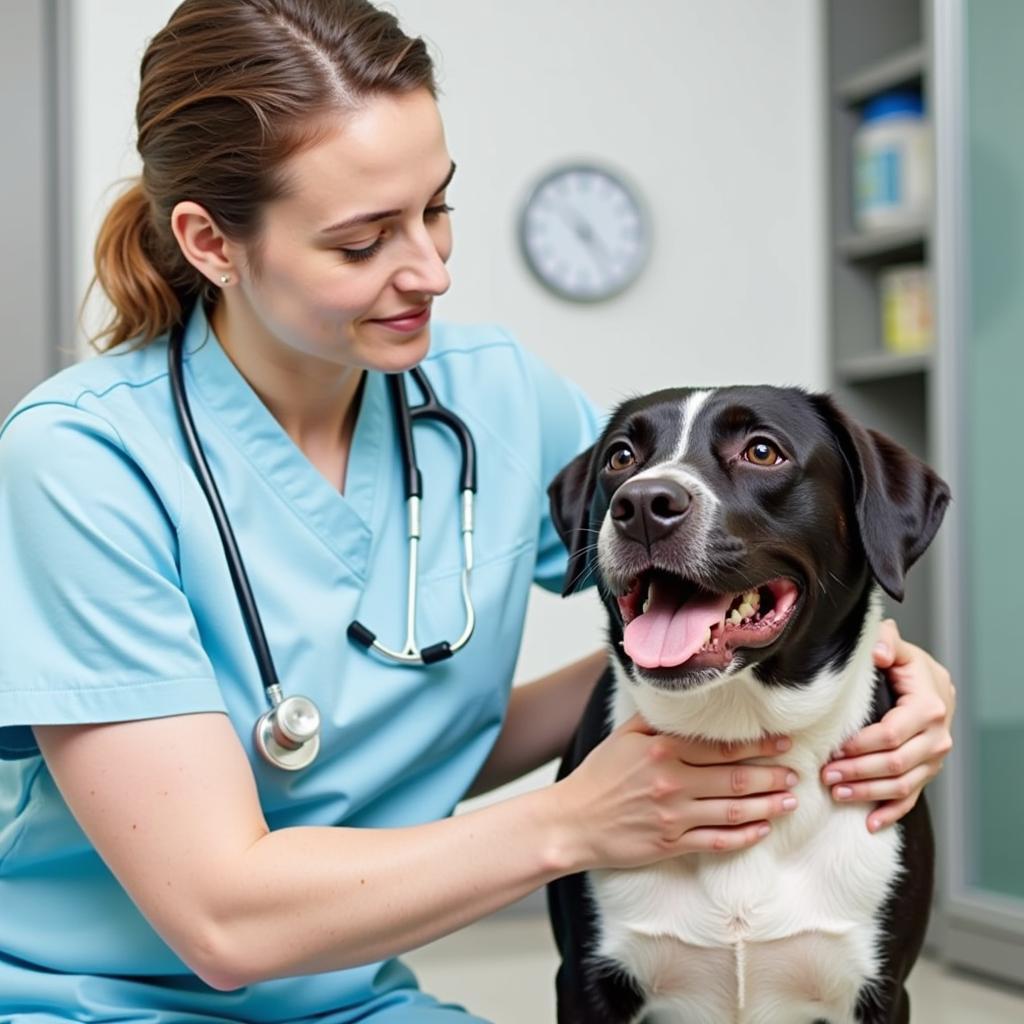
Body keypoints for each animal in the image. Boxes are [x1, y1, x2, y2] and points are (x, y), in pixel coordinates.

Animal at [548, 385, 946, 1024]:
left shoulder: (883, 990)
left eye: (762, 451)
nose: (642, 504)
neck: (738, 728)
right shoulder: (585, 985)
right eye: (620, 457)